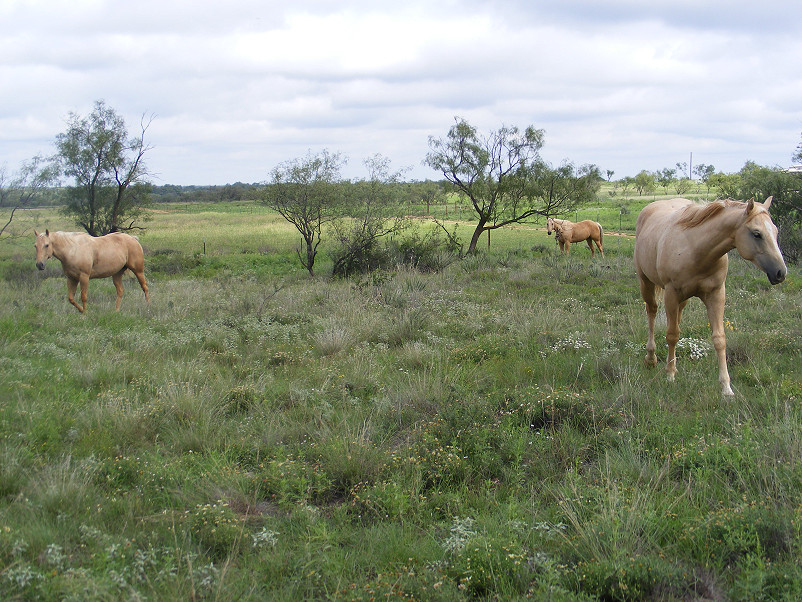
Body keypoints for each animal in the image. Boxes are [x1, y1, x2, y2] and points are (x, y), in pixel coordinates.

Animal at [636, 195, 784, 396]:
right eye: (756, 233)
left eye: (775, 231)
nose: (780, 272)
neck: (696, 249)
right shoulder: (671, 293)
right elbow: (672, 335)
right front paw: (670, 375)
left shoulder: (716, 294)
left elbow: (719, 339)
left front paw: (726, 388)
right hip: (646, 282)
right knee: (651, 311)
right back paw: (651, 357)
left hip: (683, 298)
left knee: (676, 319)